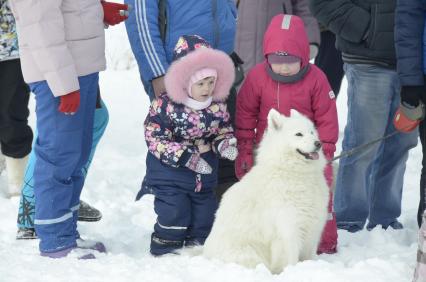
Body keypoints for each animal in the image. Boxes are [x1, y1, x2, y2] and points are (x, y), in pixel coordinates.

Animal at [203, 108, 330, 274]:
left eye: (312, 132)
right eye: (298, 134)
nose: (318, 143)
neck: (292, 172)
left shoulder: (313, 227)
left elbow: (310, 256)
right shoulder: (289, 230)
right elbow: (291, 259)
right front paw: (293, 272)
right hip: (250, 254)